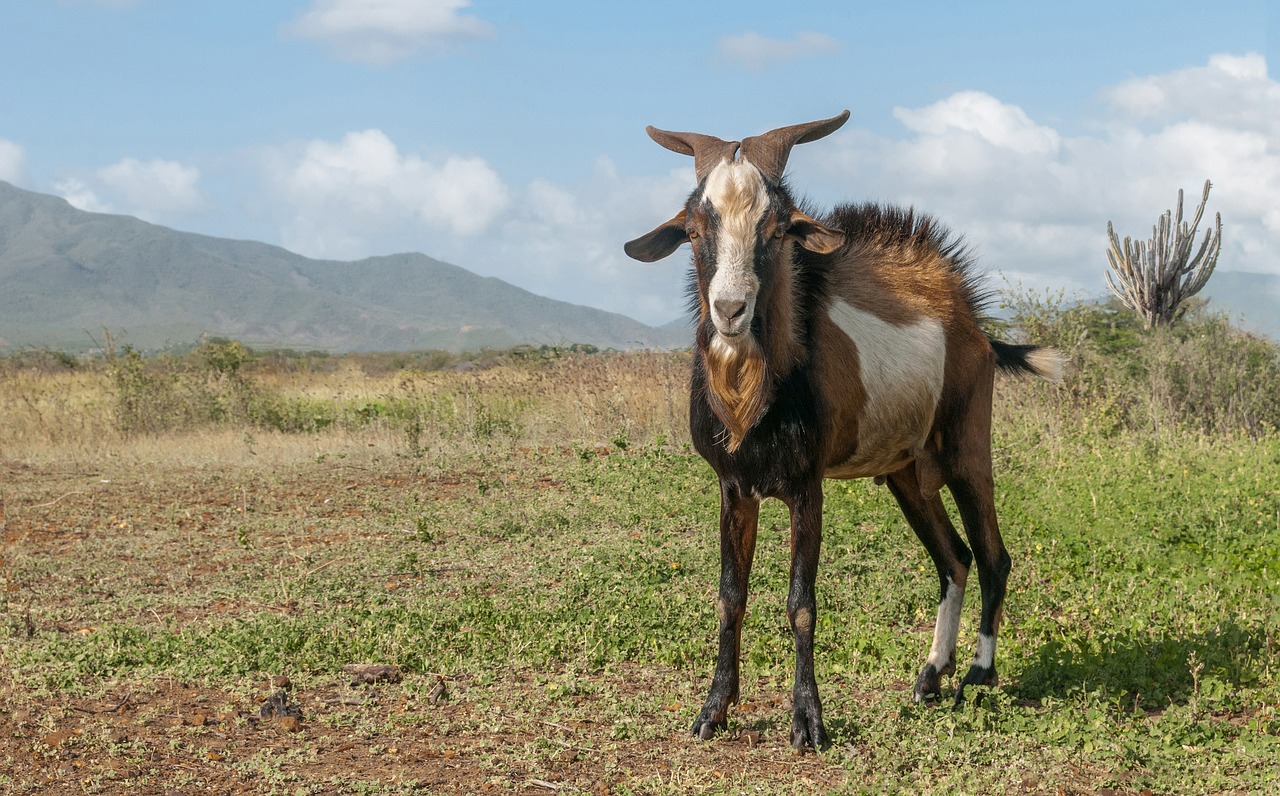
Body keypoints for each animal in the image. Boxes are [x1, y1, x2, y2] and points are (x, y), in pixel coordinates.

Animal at [624, 109, 1064, 752]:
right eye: (694, 229)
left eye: (778, 229)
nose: (730, 311)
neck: (754, 399)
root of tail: (976, 327)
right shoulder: (735, 486)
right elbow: (731, 597)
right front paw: (714, 711)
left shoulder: (807, 485)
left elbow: (801, 601)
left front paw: (808, 721)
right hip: (908, 472)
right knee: (953, 558)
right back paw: (930, 676)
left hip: (966, 450)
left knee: (992, 555)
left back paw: (978, 676)